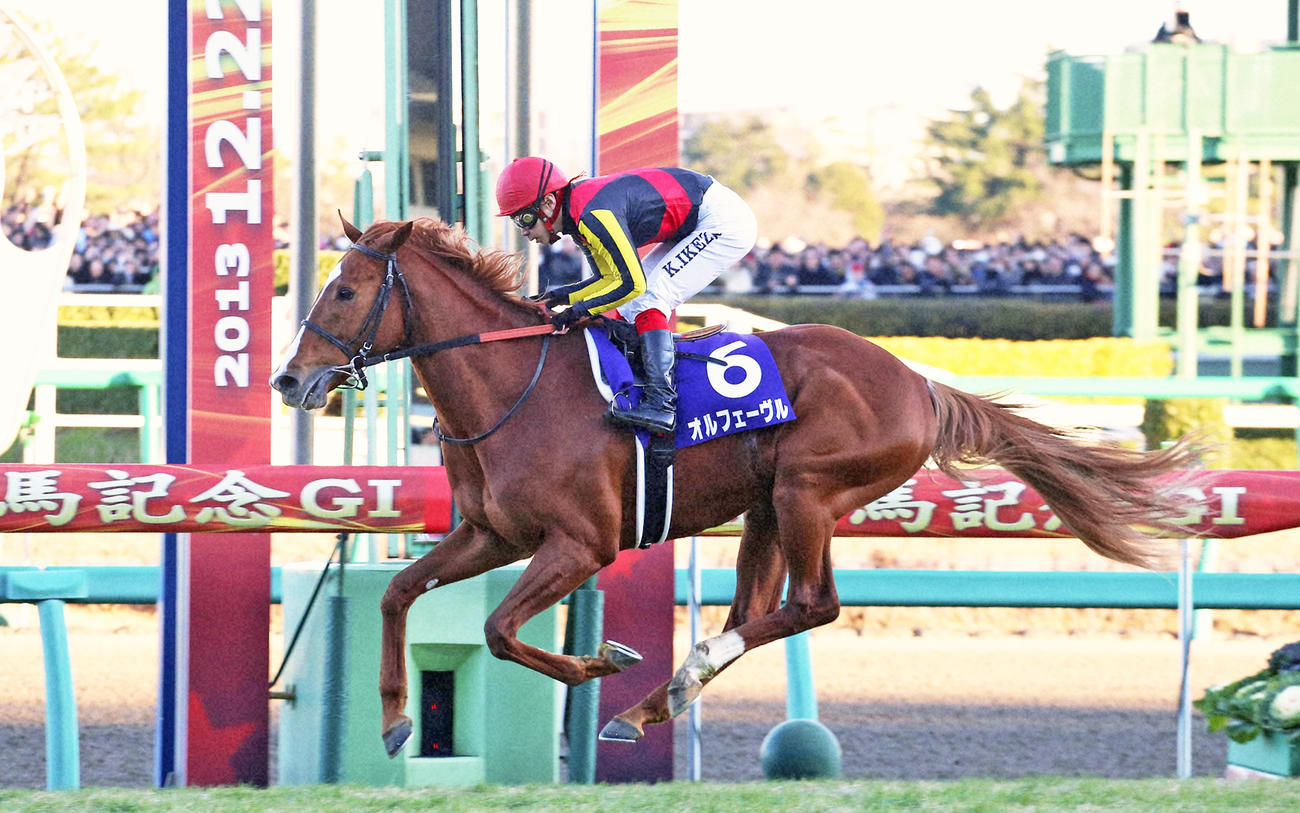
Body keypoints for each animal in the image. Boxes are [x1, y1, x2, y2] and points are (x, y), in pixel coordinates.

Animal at [269, 216, 1202, 756]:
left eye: (345, 289)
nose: (289, 379)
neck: (512, 386)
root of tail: (918, 381)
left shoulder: (581, 543)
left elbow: (500, 631)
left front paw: (598, 660)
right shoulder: (491, 533)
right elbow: (398, 592)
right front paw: (393, 718)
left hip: (807, 492)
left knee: (811, 605)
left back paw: (673, 678)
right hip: (765, 505)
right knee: (757, 608)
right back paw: (660, 698)